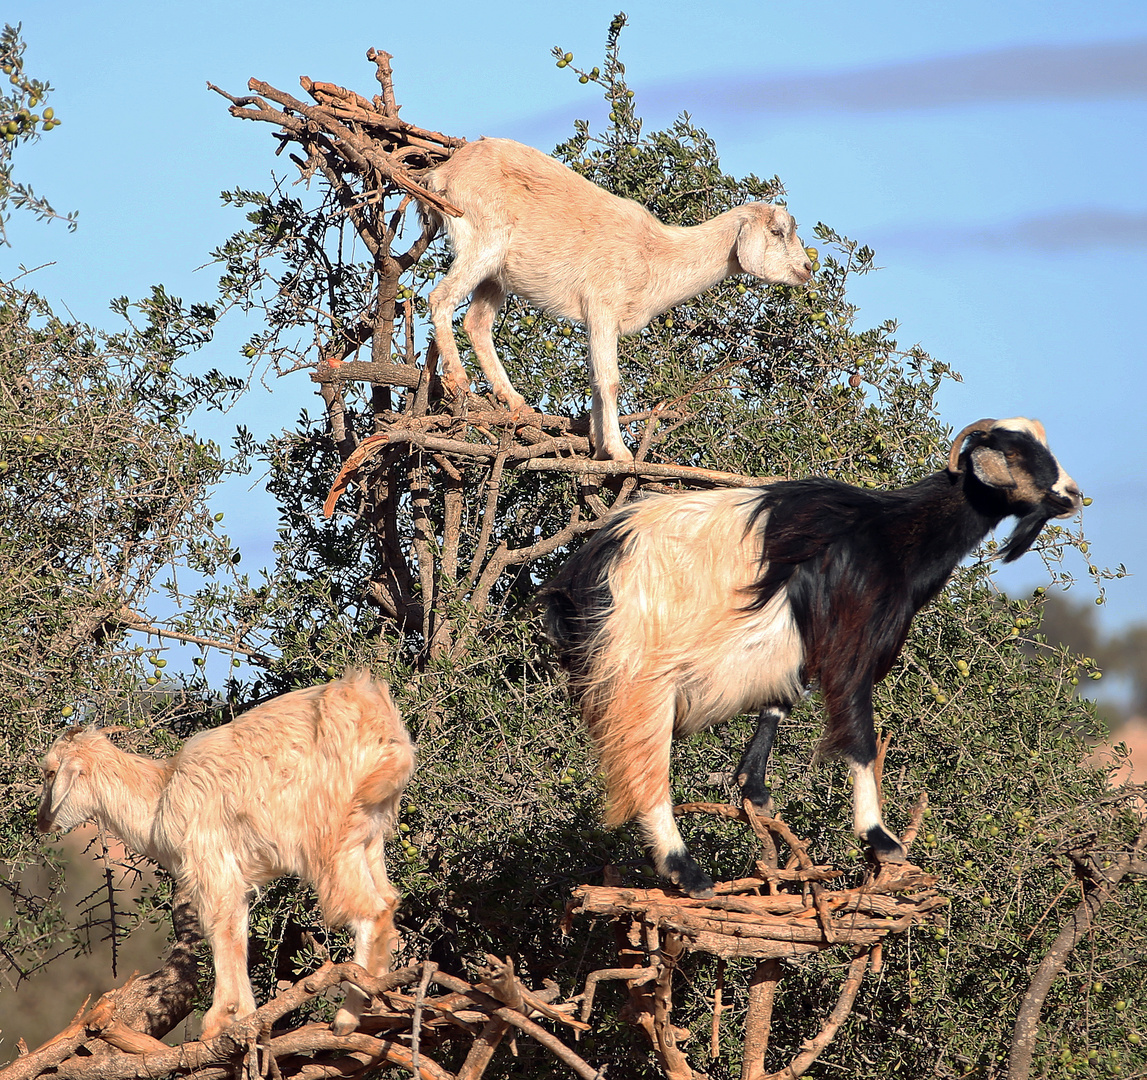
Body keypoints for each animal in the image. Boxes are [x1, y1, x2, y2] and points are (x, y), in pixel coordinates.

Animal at [38, 678, 415, 1041]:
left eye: (50, 772)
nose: (42, 821)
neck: (160, 796)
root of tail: (380, 725)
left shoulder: (211, 863)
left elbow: (220, 929)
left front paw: (219, 1019)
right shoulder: (235, 875)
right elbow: (237, 931)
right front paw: (245, 1015)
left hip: (331, 838)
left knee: (369, 910)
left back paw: (346, 1018)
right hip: (369, 835)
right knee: (388, 901)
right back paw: (375, 1001)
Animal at [424, 138, 816, 460]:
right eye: (777, 231)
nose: (807, 268)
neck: (655, 254)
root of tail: (444, 174)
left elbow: (596, 380)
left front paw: (599, 449)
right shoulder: (602, 306)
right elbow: (609, 380)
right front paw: (620, 452)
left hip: (497, 273)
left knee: (476, 322)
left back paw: (515, 401)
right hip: (483, 241)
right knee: (440, 298)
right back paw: (458, 379)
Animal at [541, 415, 1078, 894]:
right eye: (1017, 454)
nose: (1072, 494)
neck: (891, 534)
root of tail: (580, 577)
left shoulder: (799, 648)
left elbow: (777, 707)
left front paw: (754, 789)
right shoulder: (850, 643)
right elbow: (859, 737)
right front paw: (879, 838)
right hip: (639, 672)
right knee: (646, 767)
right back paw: (686, 872)